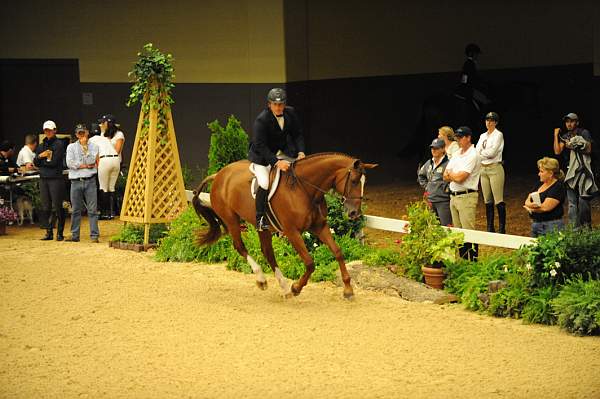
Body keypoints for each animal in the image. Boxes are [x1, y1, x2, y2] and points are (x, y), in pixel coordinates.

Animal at [193, 152, 376, 296]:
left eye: (364, 182)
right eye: (354, 181)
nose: (354, 213)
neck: (304, 189)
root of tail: (218, 175)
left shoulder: (319, 226)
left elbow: (337, 252)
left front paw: (348, 290)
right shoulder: (292, 231)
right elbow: (310, 263)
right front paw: (296, 288)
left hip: (262, 227)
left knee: (267, 251)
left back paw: (283, 286)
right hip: (231, 219)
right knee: (240, 246)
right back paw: (263, 280)